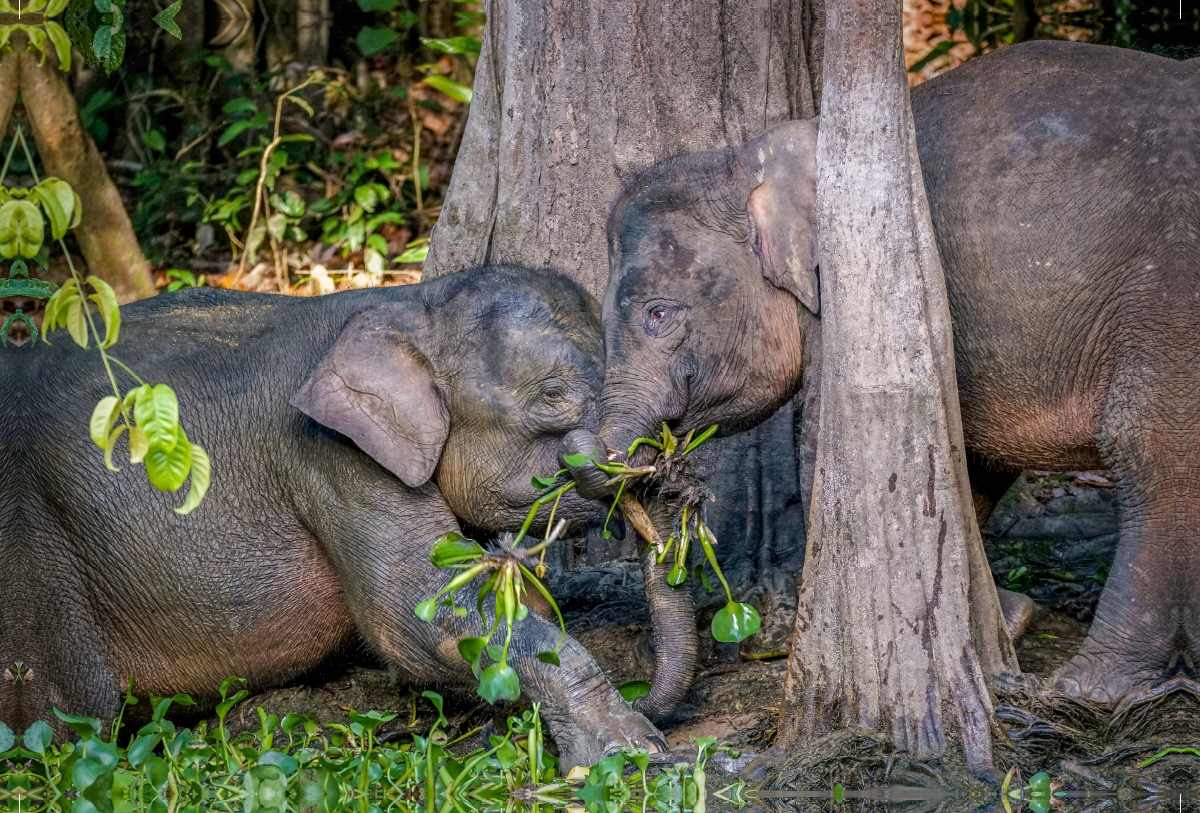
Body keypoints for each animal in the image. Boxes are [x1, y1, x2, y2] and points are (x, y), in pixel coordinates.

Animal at [0, 268, 667, 772]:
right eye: (553, 395)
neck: (406, 302)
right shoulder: (333, 457)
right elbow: (413, 613)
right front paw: (632, 753)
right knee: (70, 717)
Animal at [564, 41, 1200, 709]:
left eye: (658, 314)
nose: (637, 697)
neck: (749, 156)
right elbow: (964, 461)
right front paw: (1008, 623)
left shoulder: (856, 297)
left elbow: (828, 445)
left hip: (1163, 305)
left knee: (1151, 453)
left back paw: (1090, 688)